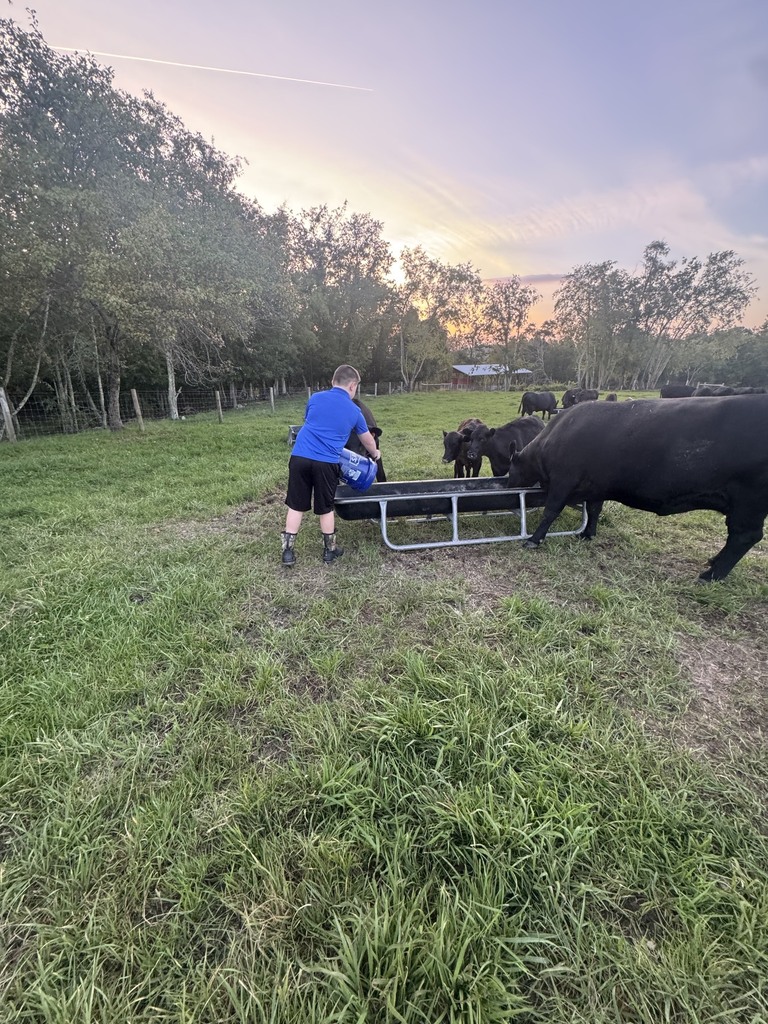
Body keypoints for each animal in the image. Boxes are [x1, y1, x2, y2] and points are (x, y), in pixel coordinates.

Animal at [506, 396, 768, 581]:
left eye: (511, 470)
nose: (506, 484)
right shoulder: (596, 488)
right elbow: (594, 510)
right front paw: (587, 534)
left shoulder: (563, 480)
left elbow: (550, 512)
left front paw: (534, 540)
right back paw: (713, 562)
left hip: (749, 503)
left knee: (744, 536)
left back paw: (711, 575)